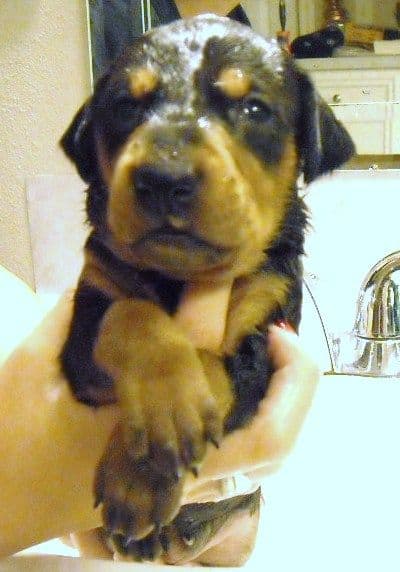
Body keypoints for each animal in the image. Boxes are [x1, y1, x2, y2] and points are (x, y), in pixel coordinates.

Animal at [59, 12, 354, 564]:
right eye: (127, 106)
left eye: (253, 108)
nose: (163, 177)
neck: (181, 277)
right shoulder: (88, 315)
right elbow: (129, 314)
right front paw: (164, 414)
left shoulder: (267, 331)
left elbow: (218, 365)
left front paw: (144, 471)